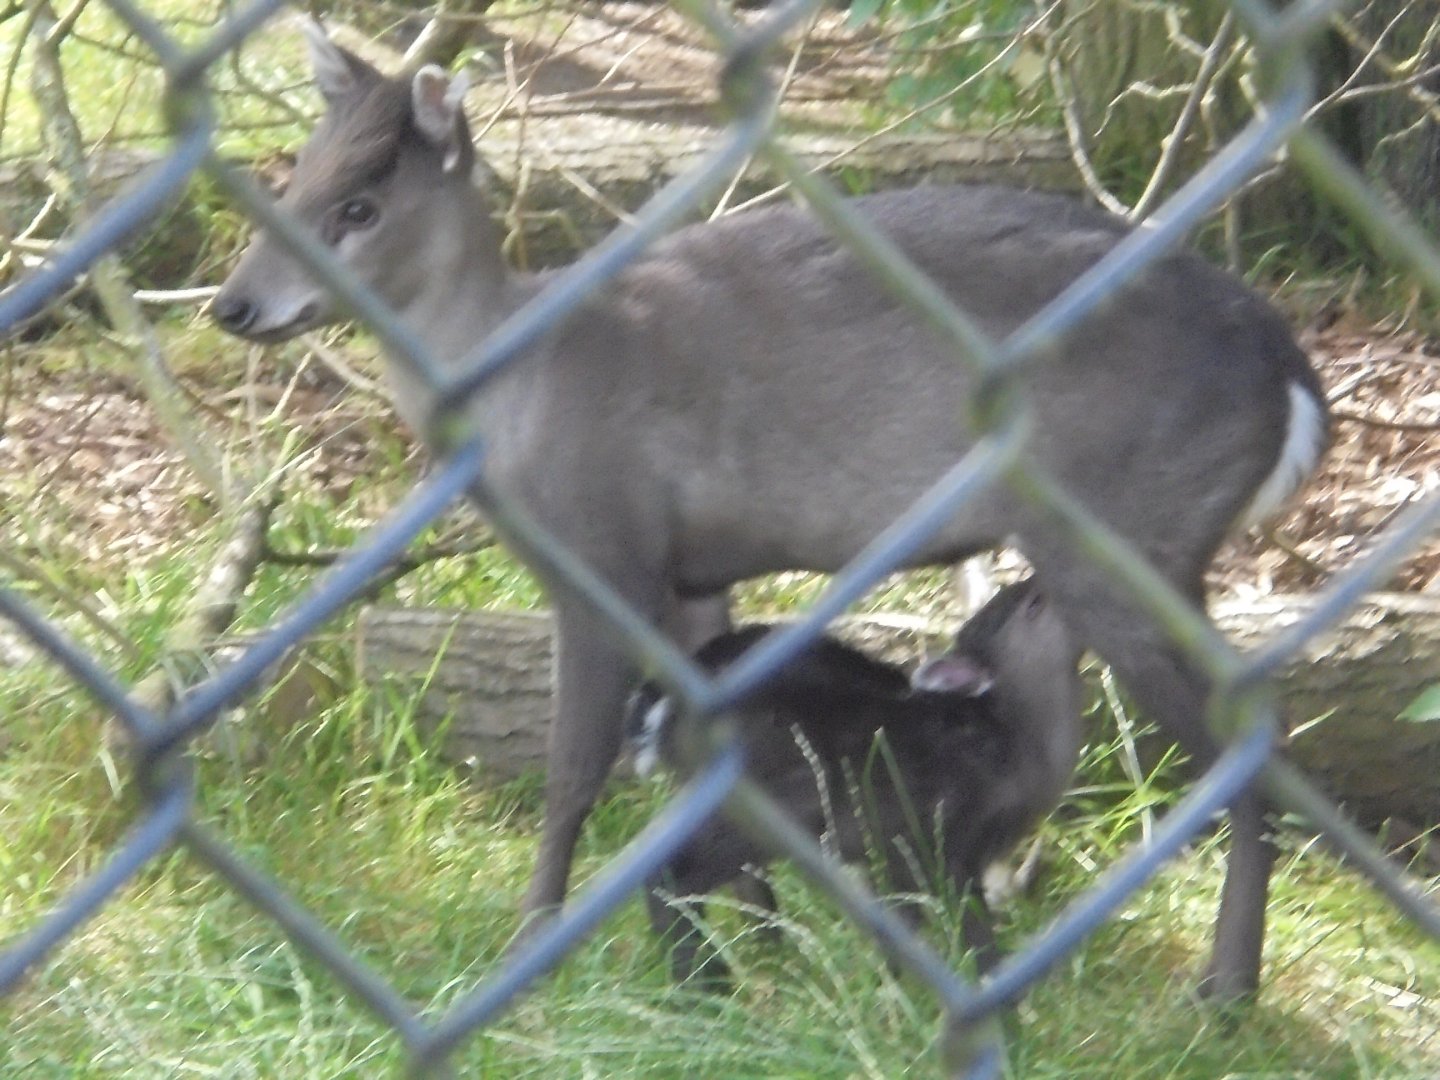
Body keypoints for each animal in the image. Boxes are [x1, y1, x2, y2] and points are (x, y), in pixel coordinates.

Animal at [628, 579, 1084, 986]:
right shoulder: (934, 839)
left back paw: (772, 957)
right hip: (771, 802)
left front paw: (892, 990)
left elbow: (899, 928)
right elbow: (971, 937)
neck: (1016, 747)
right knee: (673, 874)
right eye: (1034, 603)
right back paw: (703, 985)